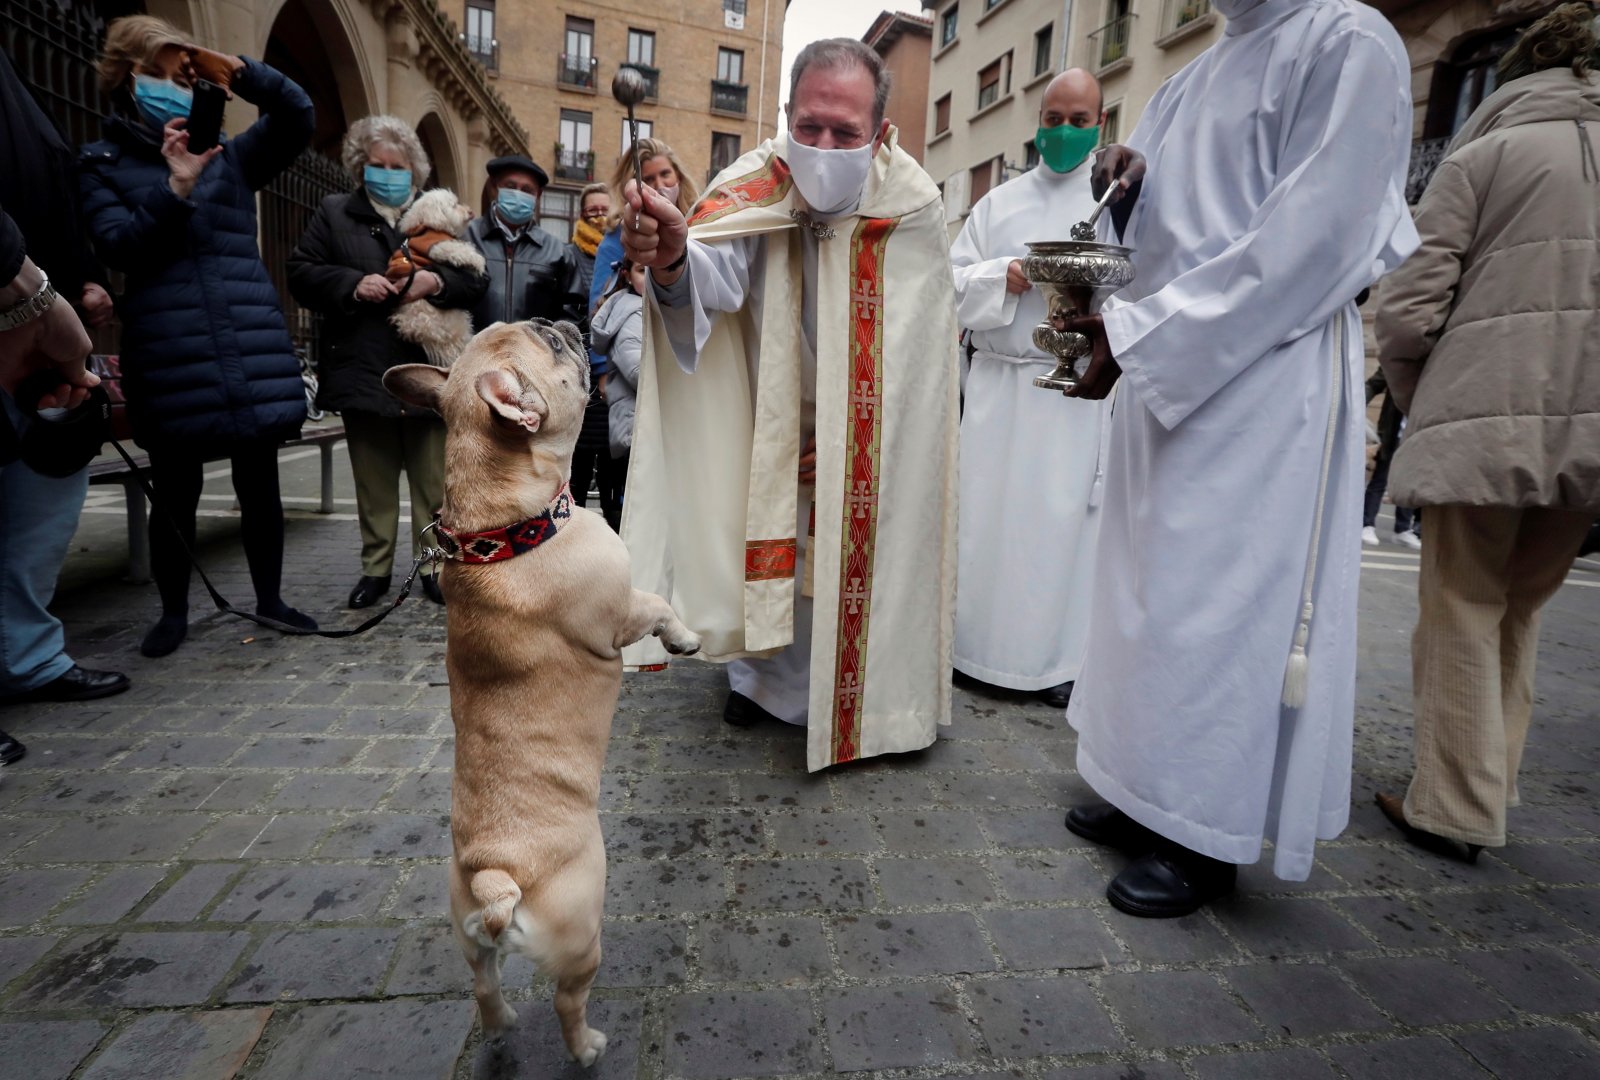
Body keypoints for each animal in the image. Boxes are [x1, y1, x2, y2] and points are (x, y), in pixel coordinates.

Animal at [384, 321, 697, 1062]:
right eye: (550, 349)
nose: (563, 322)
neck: (504, 528)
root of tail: (496, 878)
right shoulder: (621, 611)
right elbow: (659, 604)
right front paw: (685, 638)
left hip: (469, 936)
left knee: (484, 986)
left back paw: (500, 1030)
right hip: (584, 934)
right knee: (566, 1000)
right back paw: (588, 1048)